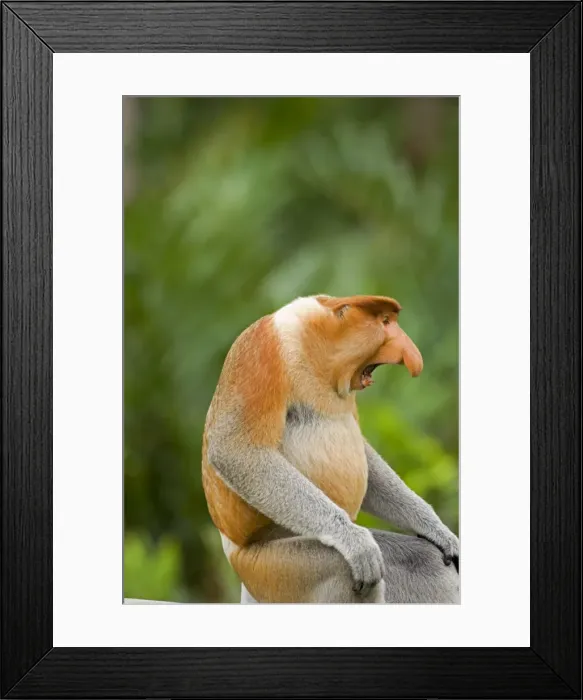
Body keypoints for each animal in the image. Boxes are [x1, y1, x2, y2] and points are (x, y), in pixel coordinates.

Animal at [202, 295, 459, 603]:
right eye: (385, 322)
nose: (413, 358)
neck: (313, 344)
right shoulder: (262, 349)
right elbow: (236, 450)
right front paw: (355, 542)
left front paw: (438, 531)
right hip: (268, 569)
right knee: (342, 570)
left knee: (424, 562)